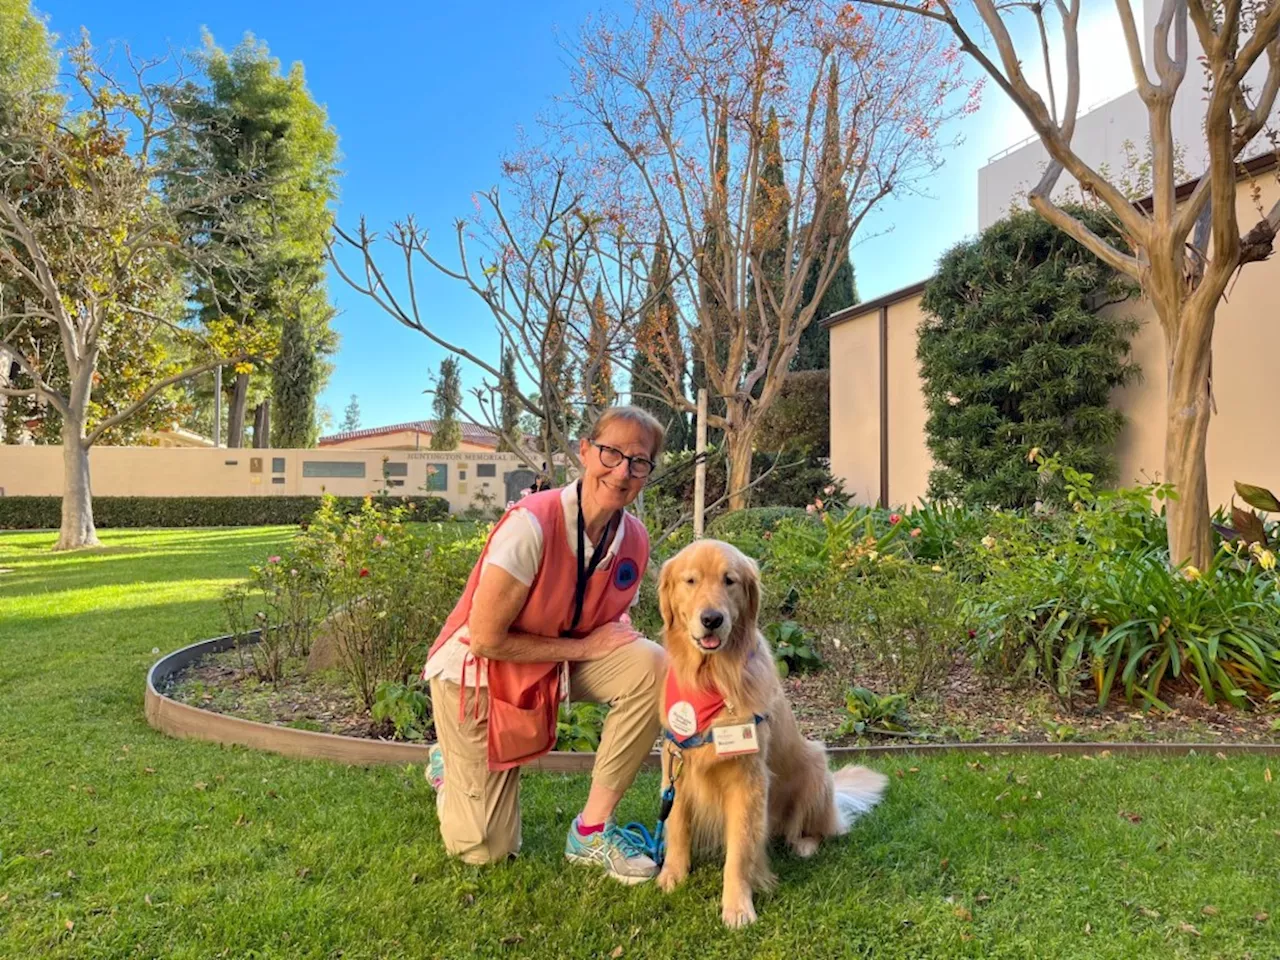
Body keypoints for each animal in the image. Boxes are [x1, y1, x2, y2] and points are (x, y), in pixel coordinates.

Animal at [655, 542, 885, 926]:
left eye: (729, 580)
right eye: (691, 580)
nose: (712, 619)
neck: (712, 680)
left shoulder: (748, 780)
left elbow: (739, 852)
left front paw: (737, 907)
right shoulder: (676, 766)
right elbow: (676, 826)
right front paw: (671, 875)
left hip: (815, 765)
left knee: (817, 829)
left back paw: (804, 843)